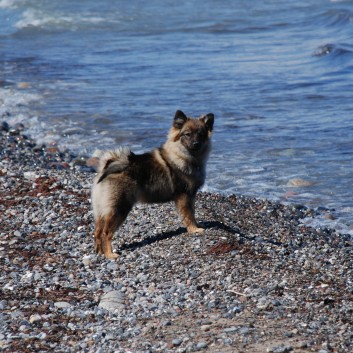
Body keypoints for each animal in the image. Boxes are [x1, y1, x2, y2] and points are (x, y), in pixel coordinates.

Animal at [89, 110, 213, 258]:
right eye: (187, 134)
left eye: (200, 134)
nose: (196, 143)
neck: (186, 157)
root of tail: (107, 167)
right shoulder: (185, 196)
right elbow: (188, 215)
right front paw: (194, 229)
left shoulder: (191, 196)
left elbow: (192, 213)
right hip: (119, 208)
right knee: (106, 233)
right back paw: (110, 255)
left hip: (101, 209)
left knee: (97, 231)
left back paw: (99, 252)